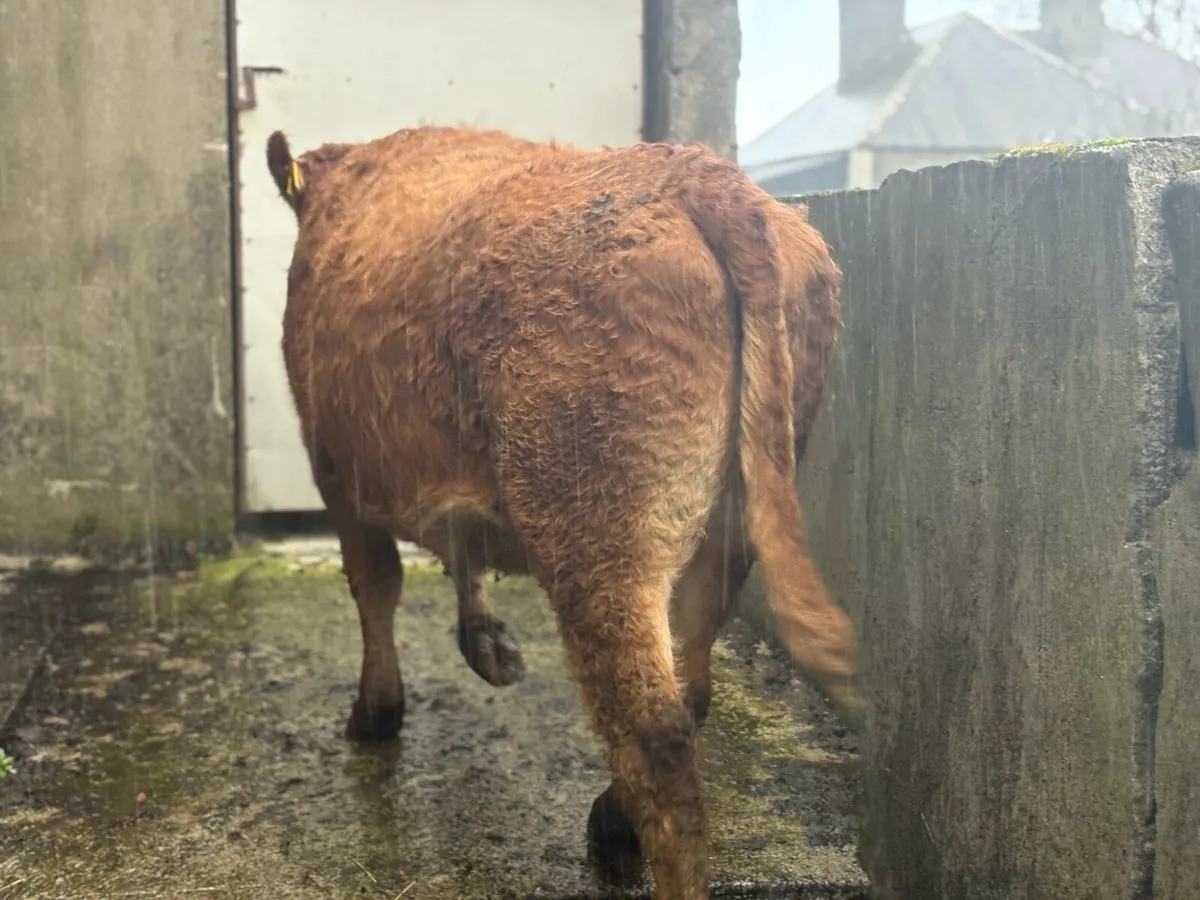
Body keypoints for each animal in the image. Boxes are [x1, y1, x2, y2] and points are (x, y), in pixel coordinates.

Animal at [264, 123, 862, 900]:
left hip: (597, 538)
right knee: (693, 679)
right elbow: (458, 556)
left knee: (657, 738)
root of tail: (702, 176)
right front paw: (484, 642)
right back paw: (611, 818)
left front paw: (377, 710)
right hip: (729, 526)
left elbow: (377, 587)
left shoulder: (335, 469)